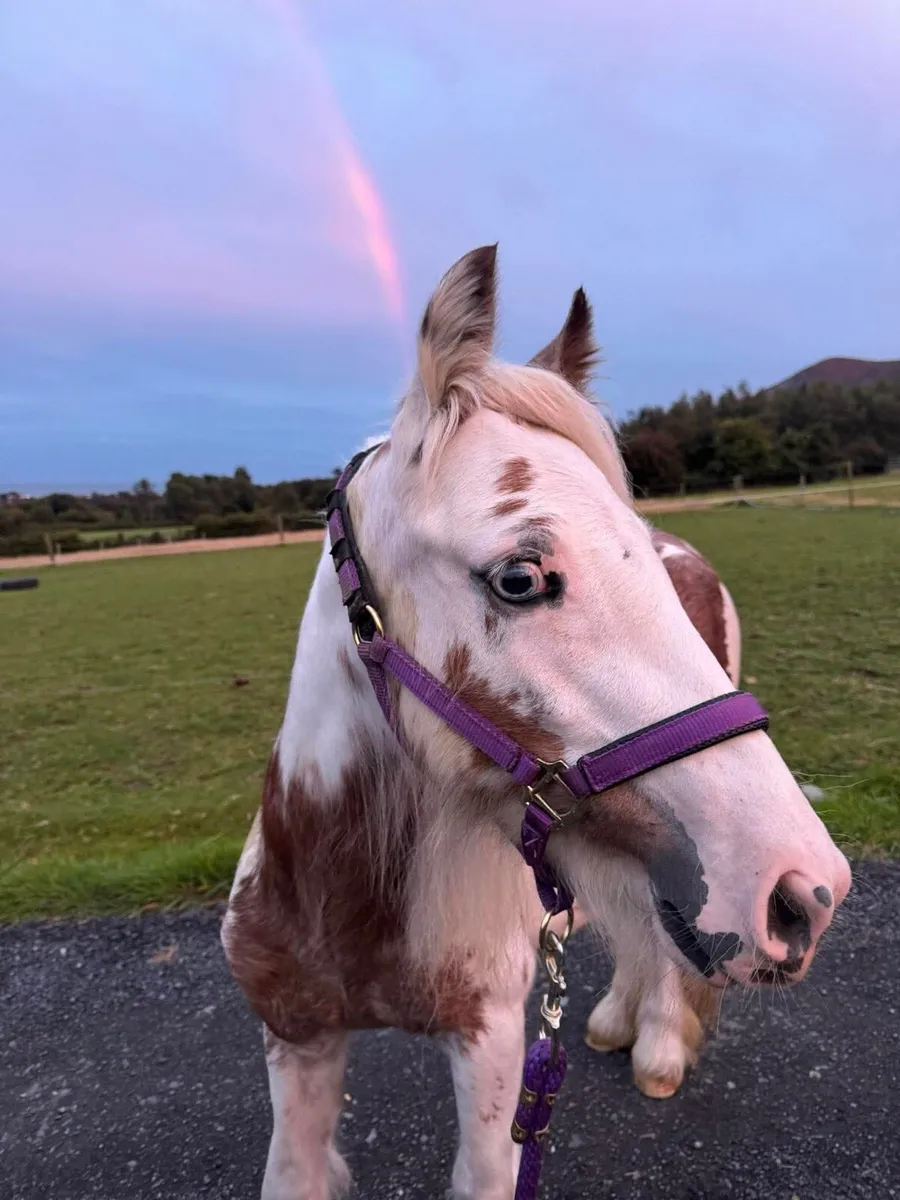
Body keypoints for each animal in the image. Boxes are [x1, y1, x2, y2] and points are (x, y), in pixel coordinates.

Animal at [222, 245, 850, 1200]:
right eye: (521, 577)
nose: (807, 891)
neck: (346, 897)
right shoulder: (296, 1040)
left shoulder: (488, 1049)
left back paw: (656, 1044)